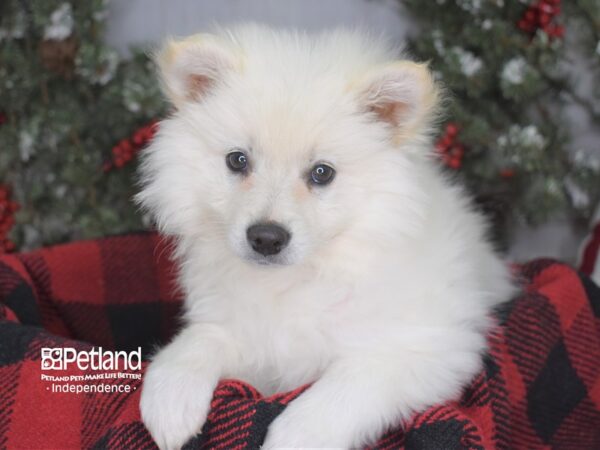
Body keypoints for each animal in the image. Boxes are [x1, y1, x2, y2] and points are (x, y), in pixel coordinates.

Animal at [138, 24, 512, 450]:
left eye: (322, 173)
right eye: (237, 160)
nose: (266, 238)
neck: (299, 278)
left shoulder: (429, 346)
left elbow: (345, 386)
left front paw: (295, 437)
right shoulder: (249, 337)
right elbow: (200, 338)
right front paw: (170, 400)